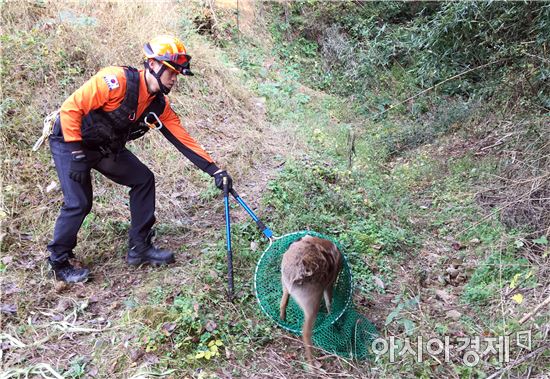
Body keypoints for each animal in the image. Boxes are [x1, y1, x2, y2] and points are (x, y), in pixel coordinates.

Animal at [282, 235, 342, 368]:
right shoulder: (329, 286)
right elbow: (329, 302)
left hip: (284, 284)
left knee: (283, 303)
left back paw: (282, 318)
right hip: (312, 305)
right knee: (306, 333)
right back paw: (312, 364)